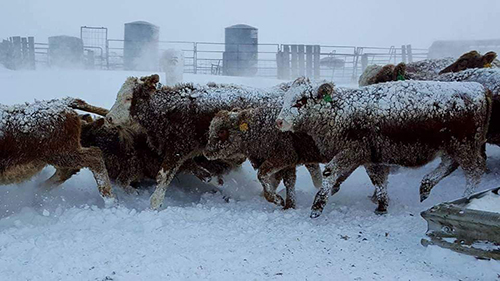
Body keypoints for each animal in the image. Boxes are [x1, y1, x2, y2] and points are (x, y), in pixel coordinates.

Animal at [278, 77, 492, 218]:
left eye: (301, 101)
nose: (279, 121)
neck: (340, 110)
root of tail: (480, 89)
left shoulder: (354, 151)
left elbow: (331, 172)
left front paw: (318, 205)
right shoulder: (370, 156)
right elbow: (378, 180)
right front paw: (381, 204)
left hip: (464, 147)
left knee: (474, 172)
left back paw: (464, 199)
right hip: (453, 148)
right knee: (450, 165)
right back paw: (426, 185)